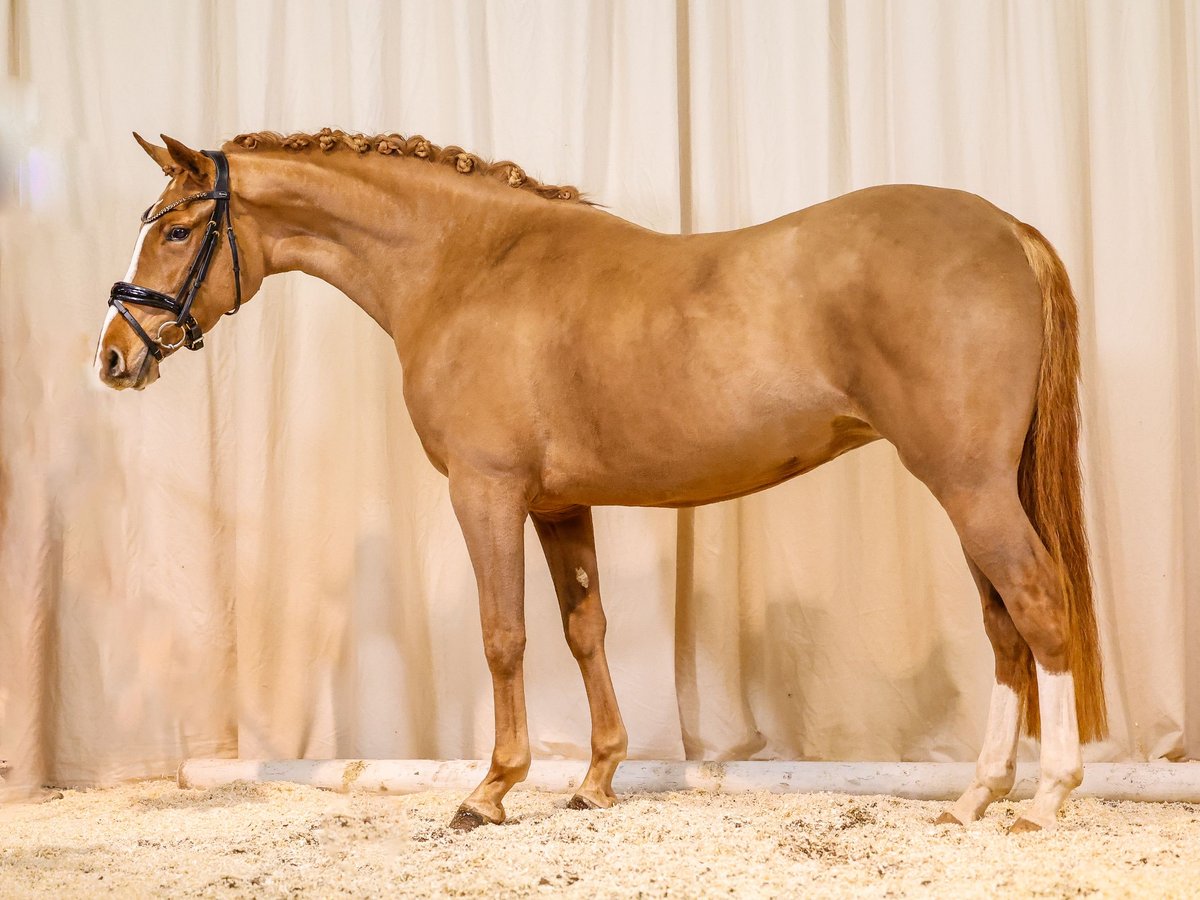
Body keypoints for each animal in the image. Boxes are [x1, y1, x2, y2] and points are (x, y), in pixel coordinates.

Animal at [93, 130, 1104, 835]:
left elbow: (505, 636)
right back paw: (975, 797)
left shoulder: (486, 493)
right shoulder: (558, 505)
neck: (467, 265)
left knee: (1040, 606)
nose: (111, 358)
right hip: (975, 490)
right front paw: (594, 781)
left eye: (178, 230)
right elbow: (586, 630)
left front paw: (489, 792)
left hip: (970, 487)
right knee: (1005, 630)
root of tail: (1006, 230)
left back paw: (1045, 799)